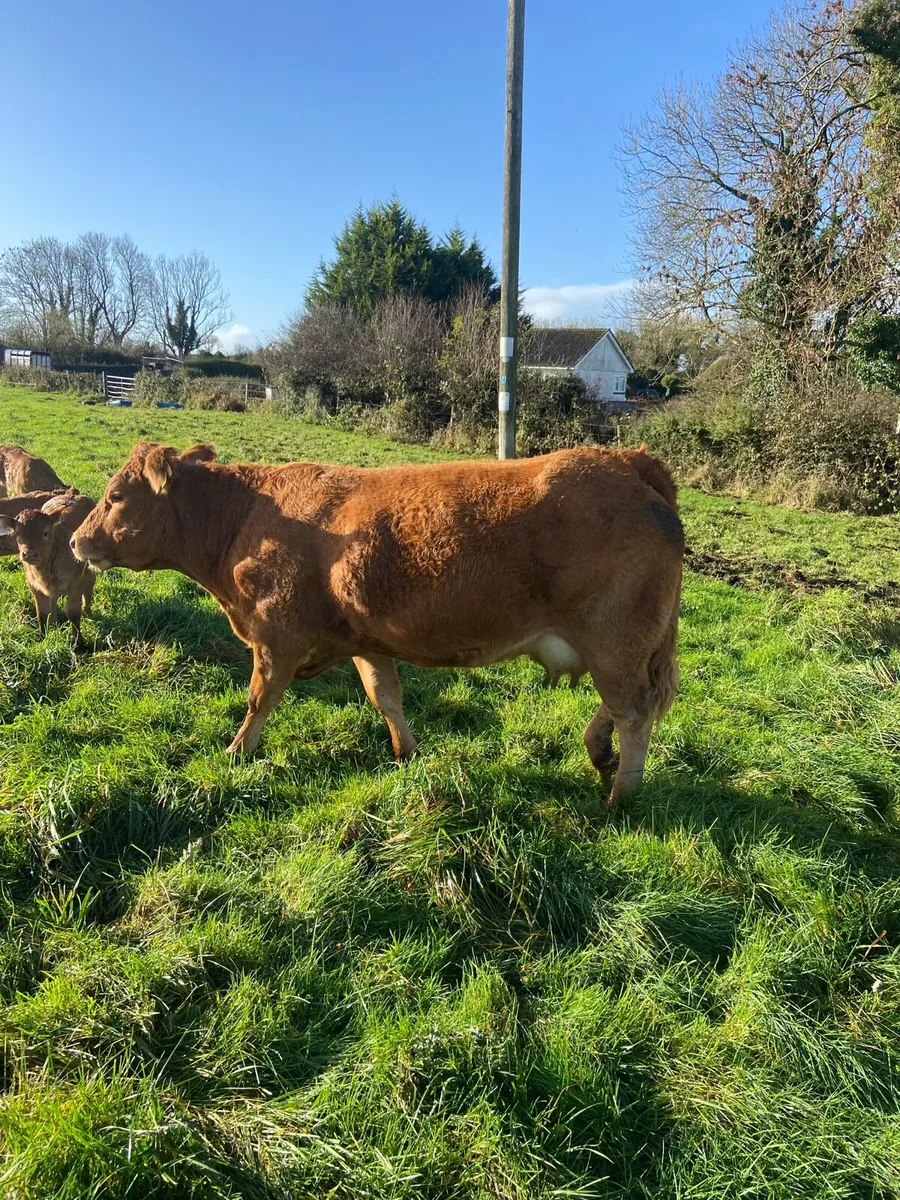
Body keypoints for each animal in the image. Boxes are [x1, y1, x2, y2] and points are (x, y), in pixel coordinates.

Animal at [0, 490, 97, 645]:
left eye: (45, 532)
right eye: (17, 533)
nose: (29, 554)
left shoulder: (76, 582)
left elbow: (73, 612)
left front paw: (79, 643)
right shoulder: (33, 584)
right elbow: (42, 613)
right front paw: (42, 637)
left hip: (89, 569)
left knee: (89, 586)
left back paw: (87, 610)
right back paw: (55, 621)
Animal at [71, 441, 683, 801]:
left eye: (116, 495)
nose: (77, 541)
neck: (245, 518)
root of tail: (625, 459)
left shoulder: (276, 636)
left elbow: (258, 699)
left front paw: (236, 753)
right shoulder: (364, 638)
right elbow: (384, 695)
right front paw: (407, 754)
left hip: (616, 638)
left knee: (634, 712)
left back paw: (622, 795)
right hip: (616, 645)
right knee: (627, 706)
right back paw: (598, 750)